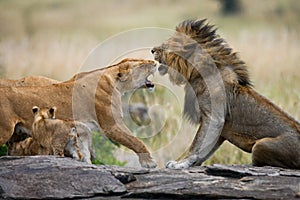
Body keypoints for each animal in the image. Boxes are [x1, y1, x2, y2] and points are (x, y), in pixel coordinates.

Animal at [0, 58, 156, 168]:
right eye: (143, 65)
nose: (155, 62)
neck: (115, 82)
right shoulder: (111, 126)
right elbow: (135, 141)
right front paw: (149, 162)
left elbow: (84, 151)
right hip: (5, 130)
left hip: (16, 136)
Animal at [152, 18, 300, 170]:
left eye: (166, 44)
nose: (152, 50)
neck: (196, 74)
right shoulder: (220, 129)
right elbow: (206, 150)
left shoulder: (214, 118)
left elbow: (196, 145)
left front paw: (180, 163)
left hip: (260, 145)